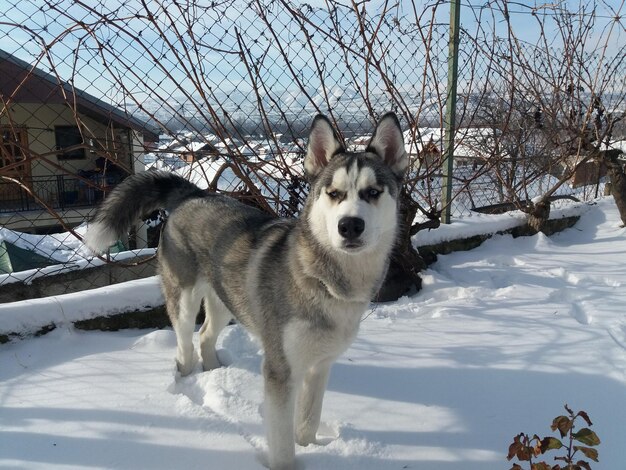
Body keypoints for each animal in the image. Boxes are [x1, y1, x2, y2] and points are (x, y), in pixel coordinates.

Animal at [84, 112, 404, 468]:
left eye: (373, 192)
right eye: (333, 193)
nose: (349, 226)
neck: (326, 280)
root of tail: (196, 195)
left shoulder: (320, 365)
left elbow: (308, 421)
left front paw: (311, 448)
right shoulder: (280, 370)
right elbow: (282, 446)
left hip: (227, 299)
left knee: (205, 335)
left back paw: (214, 373)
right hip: (184, 298)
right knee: (185, 344)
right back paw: (186, 380)